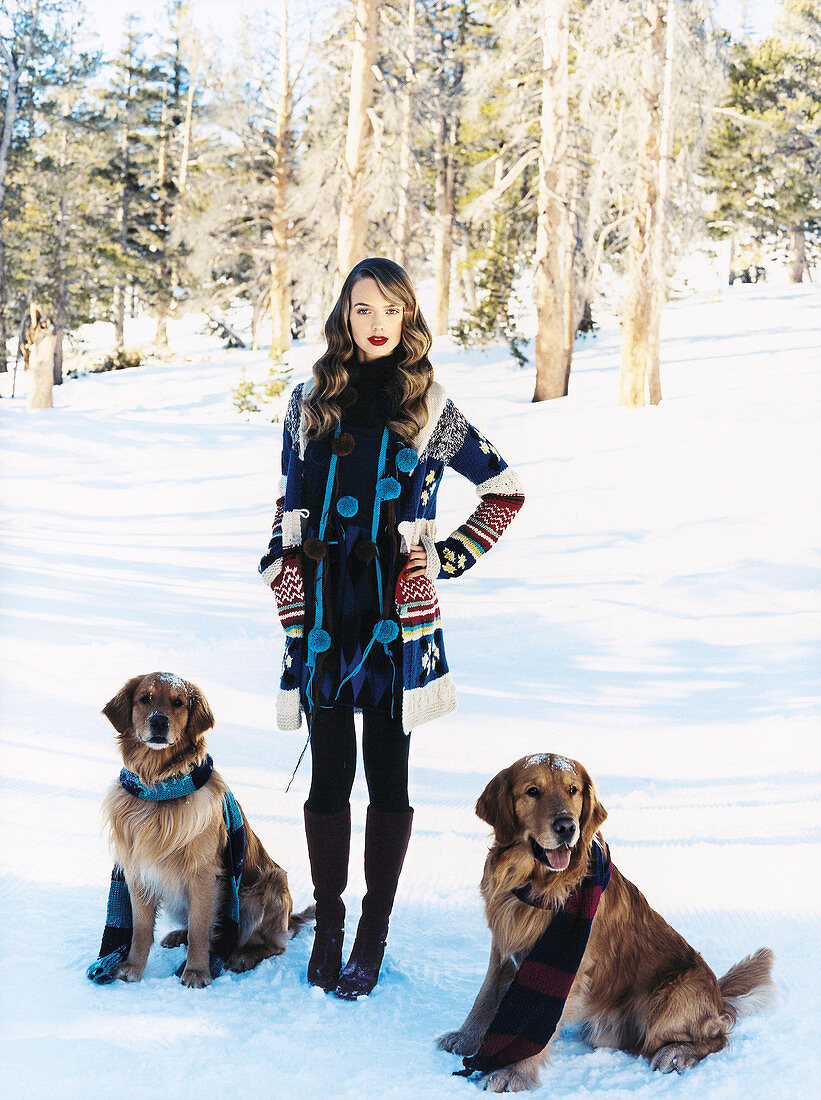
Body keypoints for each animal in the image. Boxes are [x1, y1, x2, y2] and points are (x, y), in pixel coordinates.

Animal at [100, 668, 310, 990]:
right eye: (145, 698)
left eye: (178, 702)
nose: (159, 722)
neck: (159, 785)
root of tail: (290, 918)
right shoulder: (139, 870)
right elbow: (141, 929)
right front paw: (132, 967)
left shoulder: (202, 874)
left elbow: (201, 929)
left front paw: (197, 972)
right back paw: (178, 935)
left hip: (267, 885)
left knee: (273, 945)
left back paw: (241, 956)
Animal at [438, 756, 770, 1091]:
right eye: (532, 791)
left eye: (572, 790)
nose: (566, 826)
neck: (535, 884)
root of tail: (718, 996)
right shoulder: (503, 942)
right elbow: (486, 994)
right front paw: (466, 1039)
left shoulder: (568, 965)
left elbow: (537, 1020)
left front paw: (514, 1072)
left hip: (670, 1000)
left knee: (718, 1035)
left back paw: (677, 1054)